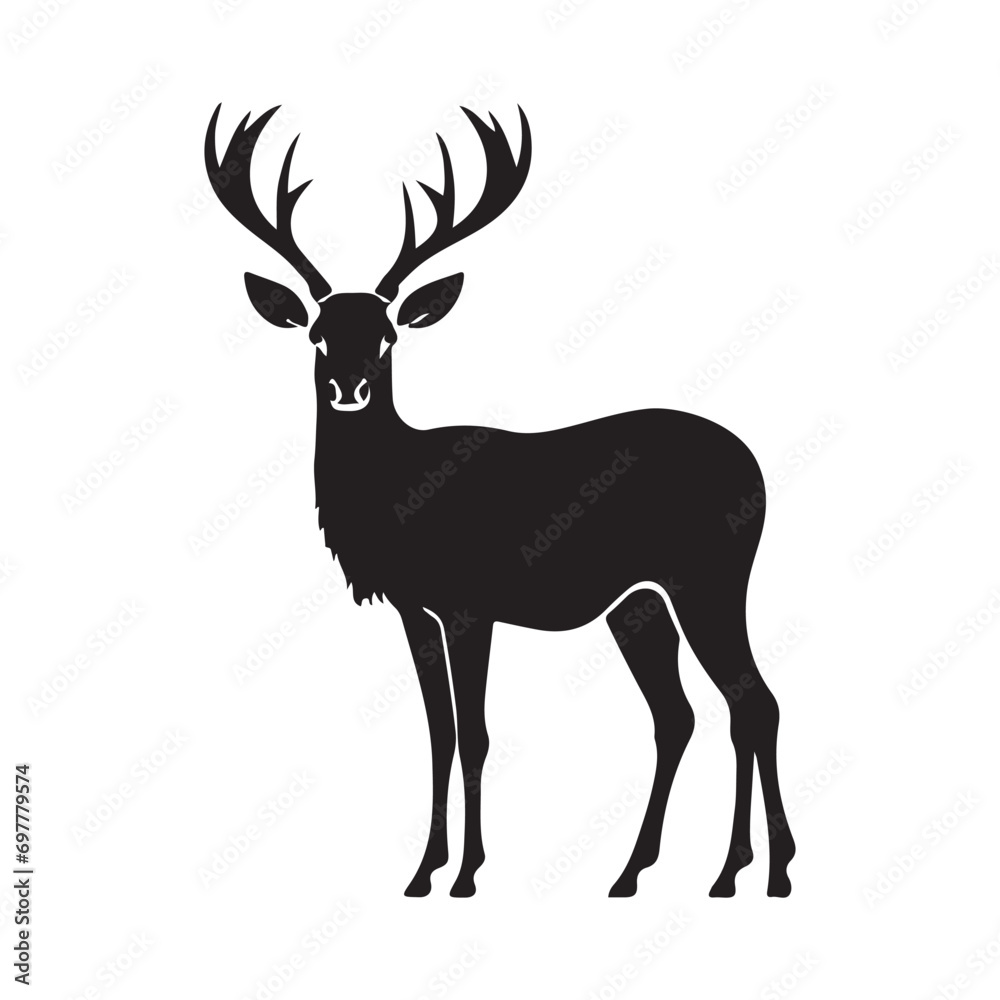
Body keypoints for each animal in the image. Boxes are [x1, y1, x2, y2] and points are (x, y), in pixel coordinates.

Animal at [204, 103, 796, 898]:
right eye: (318, 334)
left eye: (387, 336)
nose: (349, 389)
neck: (397, 497)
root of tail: (757, 469)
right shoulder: (414, 607)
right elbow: (438, 735)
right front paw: (423, 871)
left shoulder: (468, 601)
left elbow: (476, 735)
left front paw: (467, 873)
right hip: (637, 604)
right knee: (679, 716)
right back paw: (637, 871)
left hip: (709, 576)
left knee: (752, 702)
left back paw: (755, 872)